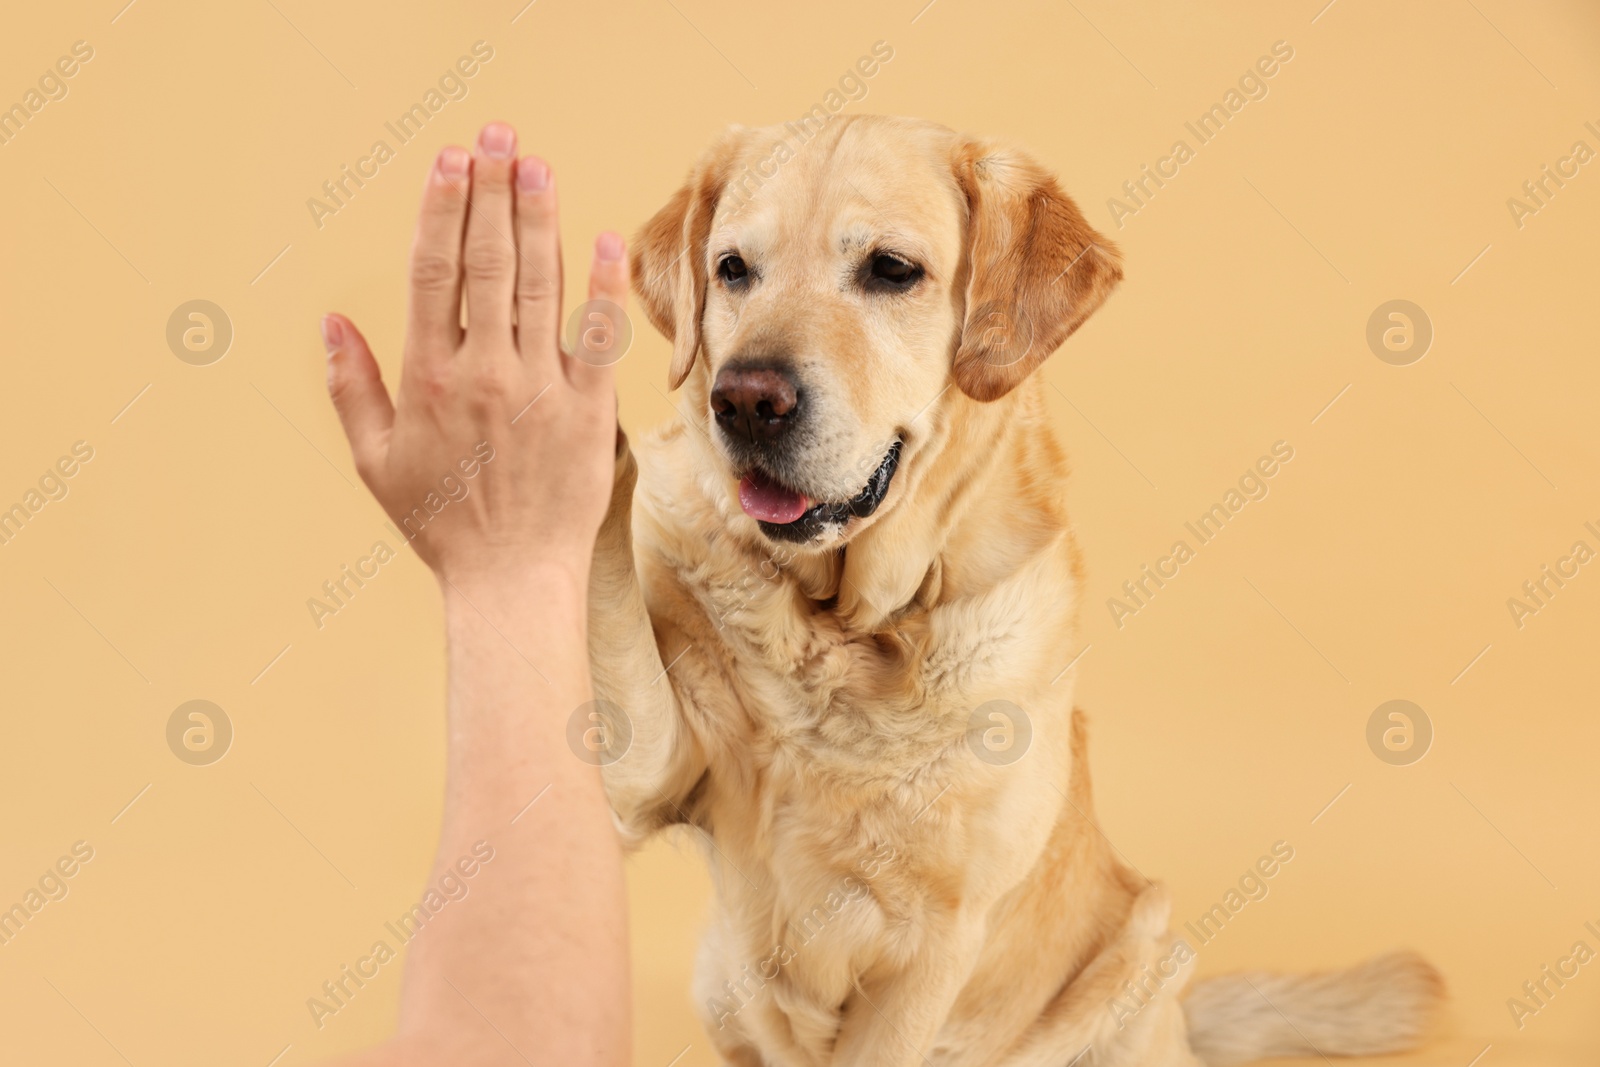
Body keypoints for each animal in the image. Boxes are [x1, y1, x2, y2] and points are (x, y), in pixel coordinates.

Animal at [585, 116, 1440, 1067]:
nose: (745, 399)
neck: (852, 633)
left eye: (891, 269)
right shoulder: (648, 771)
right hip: (718, 977)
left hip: (1142, 951)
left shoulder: (936, 946)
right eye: (734, 268)